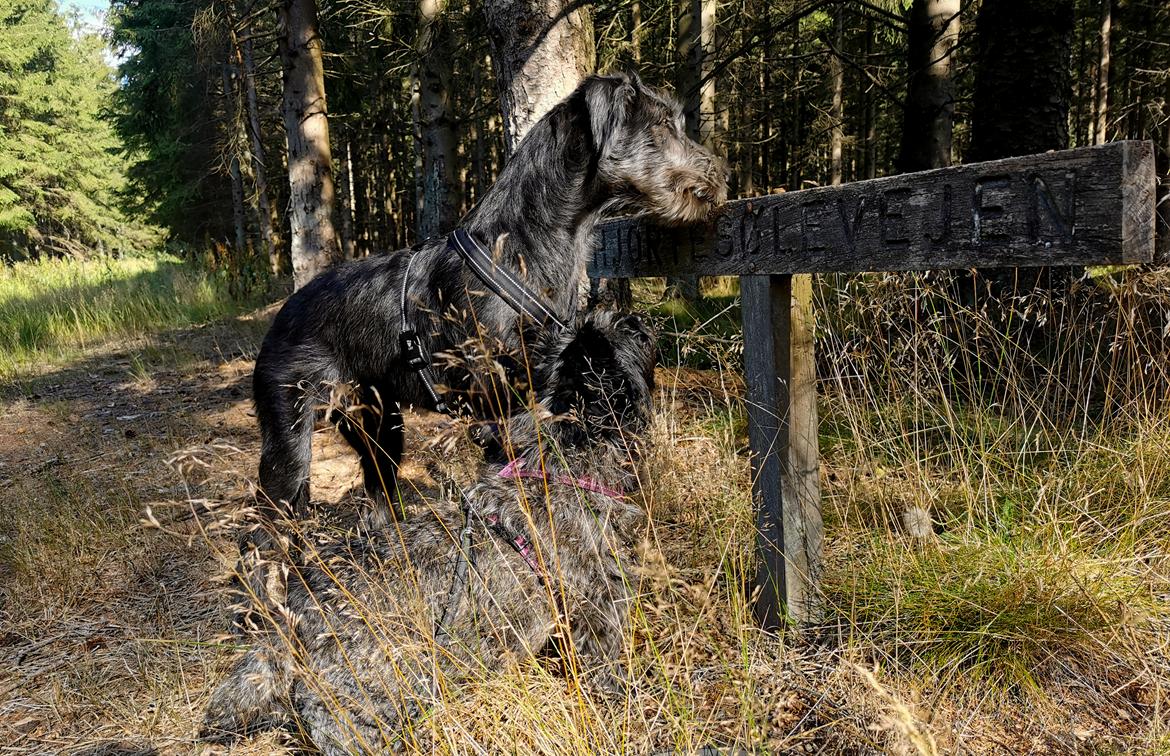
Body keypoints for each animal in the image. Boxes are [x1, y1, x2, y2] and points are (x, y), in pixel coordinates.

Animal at [202, 311, 659, 753]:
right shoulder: (602, 606)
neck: (555, 461)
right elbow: (610, 670)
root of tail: (293, 614)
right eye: (628, 330)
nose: (643, 321)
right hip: (373, 693)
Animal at [255, 71, 720, 524]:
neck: (521, 245)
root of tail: (281, 315)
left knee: (380, 497)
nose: (719, 175)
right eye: (662, 124)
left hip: (380, 425)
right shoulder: (497, 404)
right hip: (290, 429)